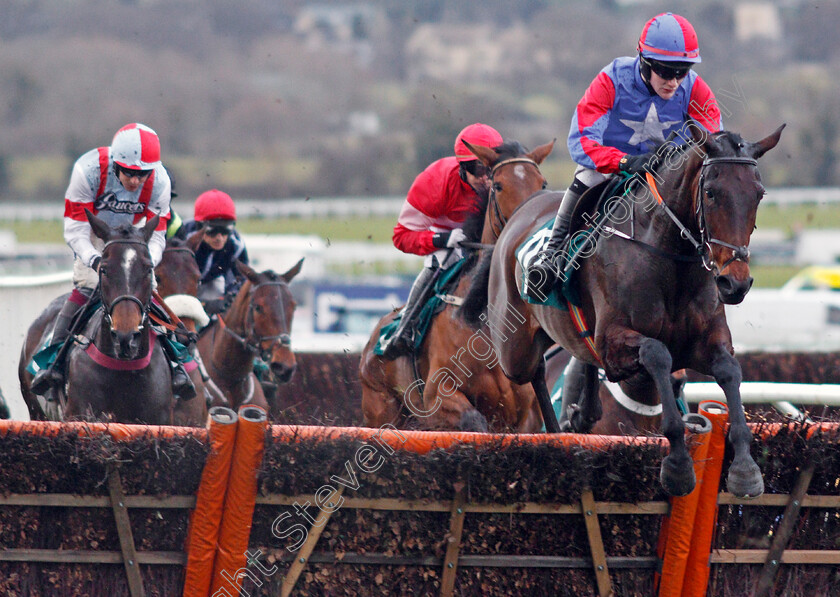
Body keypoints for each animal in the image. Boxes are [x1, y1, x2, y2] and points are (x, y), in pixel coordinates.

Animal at [358, 140, 556, 434]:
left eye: (542, 183)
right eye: (498, 185)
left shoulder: (525, 416)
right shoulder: (437, 395)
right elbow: (474, 422)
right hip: (381, 409)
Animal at [462, 125, 784, 498]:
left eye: (758, 194)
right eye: (711, 192)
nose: (735, 283)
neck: (670, 258)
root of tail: (522, 211)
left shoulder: (705, 342)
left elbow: (730, 371)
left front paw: (745, 469)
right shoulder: (616, 340)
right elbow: (658, 354)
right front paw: (678, 466)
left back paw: (580, 416)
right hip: (513, 350)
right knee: (535, 370)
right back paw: (555, 432)